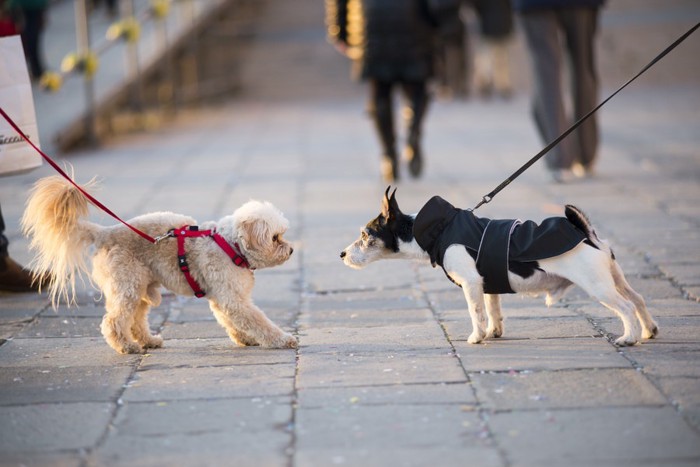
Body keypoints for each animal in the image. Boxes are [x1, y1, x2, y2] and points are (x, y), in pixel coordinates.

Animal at [21, 176, 298, 354]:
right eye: (276, 238)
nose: (292, 250)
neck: (231, 245)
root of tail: (104, 233)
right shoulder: (232, 298)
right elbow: (258, 321)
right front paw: (282, 339)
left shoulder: (224, 298)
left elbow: (231, 320)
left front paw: (245, 338)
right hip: (127, 286)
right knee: (114, 321)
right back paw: (127, 347)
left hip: (142, 289)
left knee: (135, 320)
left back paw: (148, 341)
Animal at [342, 188, 660, 346]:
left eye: (365, 235)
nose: (342, 253)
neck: (436, 230)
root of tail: (586, 233)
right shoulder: (487, 285)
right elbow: (492, 310)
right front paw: (493, 332)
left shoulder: (471, 284)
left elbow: (476, 313)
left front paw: (476, 337)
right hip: (614, 279)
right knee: (638, 299)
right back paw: (648, 331)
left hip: (599, 288)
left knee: (626, 308)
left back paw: (629, 338)